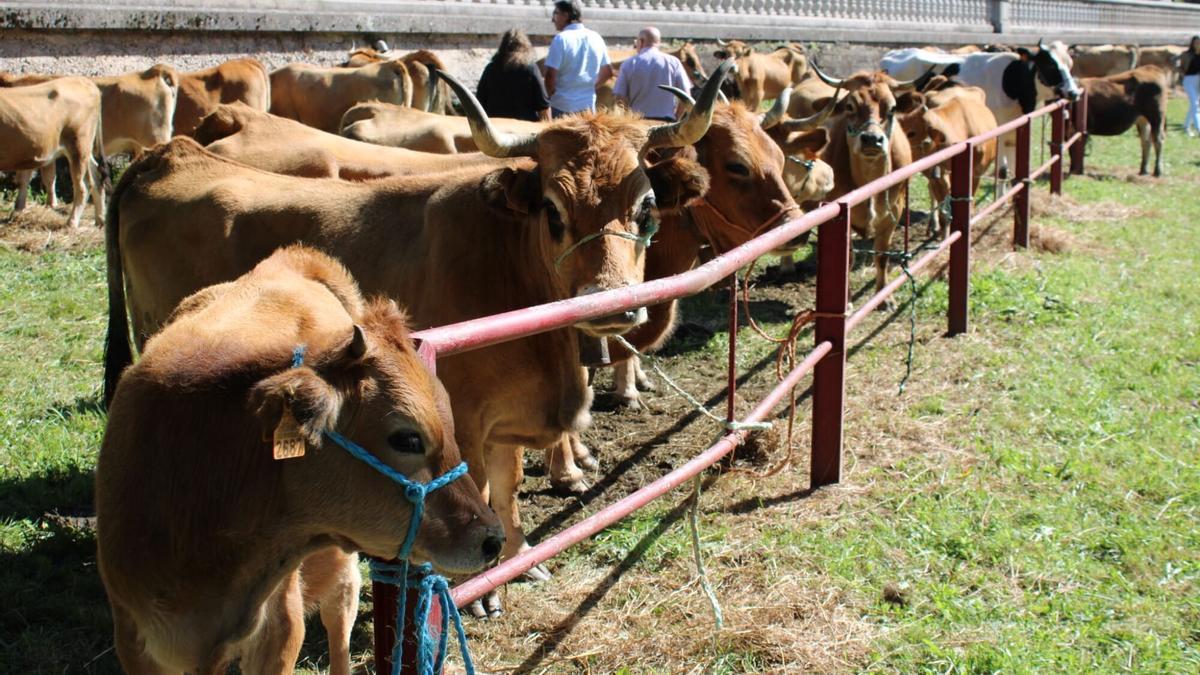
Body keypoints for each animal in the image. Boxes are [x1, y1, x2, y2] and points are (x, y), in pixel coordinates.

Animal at [0, 77, 107, 227]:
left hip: (78, 145)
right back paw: (100, 220)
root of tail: (84, 81)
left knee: (83, 186)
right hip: (85, 149)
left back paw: (72, 222)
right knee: (97, 176)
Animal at [97, 244, 502, 674]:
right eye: (407, 438)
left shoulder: (280, 628)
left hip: (341, 574)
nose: (493, 538)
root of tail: (289, 257)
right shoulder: (134, 638)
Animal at [881, 40, 1081, 183]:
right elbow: (1002, 171)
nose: (1074, 92)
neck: (1014, 81)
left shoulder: (1016, 130)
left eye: (1070, 64)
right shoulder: (998, 130)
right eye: (1050, 65)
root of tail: (893, 54)